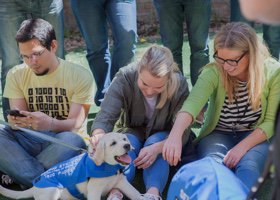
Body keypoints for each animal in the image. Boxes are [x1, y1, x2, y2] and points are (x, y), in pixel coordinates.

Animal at [0, 132, 143, 199]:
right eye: (113, 143)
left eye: (124, 139)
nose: (127, 145)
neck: (108, 166)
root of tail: (35, 186)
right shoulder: (94, 191)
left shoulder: (123, 184)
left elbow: (136, 194)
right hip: (53, 190)